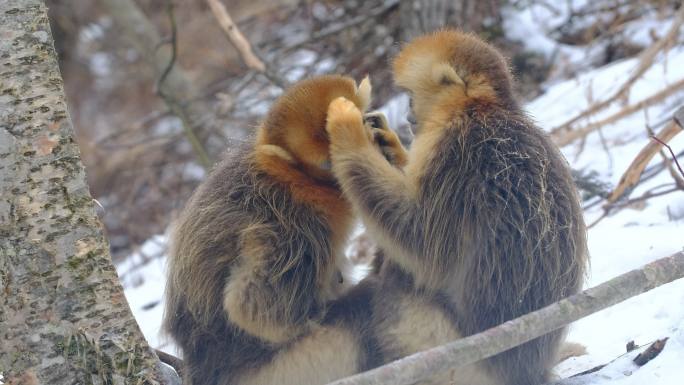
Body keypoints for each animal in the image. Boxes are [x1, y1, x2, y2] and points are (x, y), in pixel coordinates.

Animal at [326, 30, 588, 384]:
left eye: (411, 96)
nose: (408, 117)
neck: (480, 108)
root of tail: (528, 372)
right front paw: (386, 140)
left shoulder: (455, 152)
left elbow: (420, 240)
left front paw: (347, 128)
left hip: (453, 353)